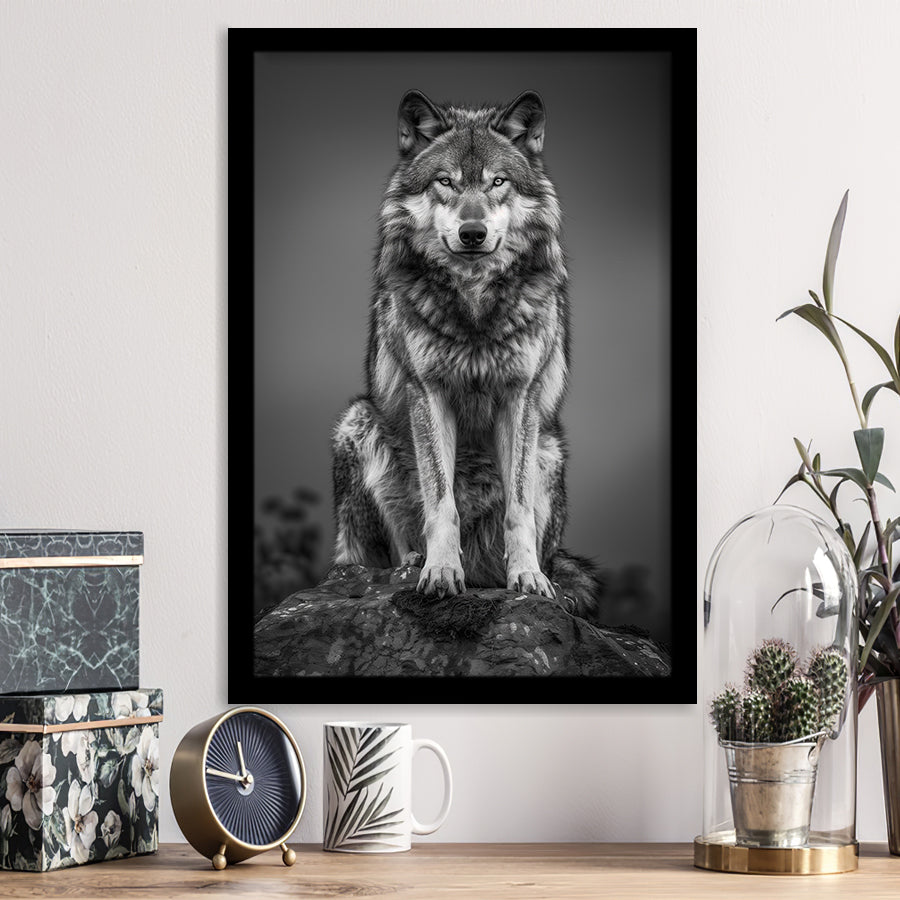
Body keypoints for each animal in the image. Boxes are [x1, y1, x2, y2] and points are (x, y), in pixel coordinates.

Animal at [331, 89, 601, 616]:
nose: (472, 233)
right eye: (445, 182)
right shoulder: (428, 392)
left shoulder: (520, 397)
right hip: (358, 422)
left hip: (549, 450)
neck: (474, 302)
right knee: (366, 556)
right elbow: (441, 502)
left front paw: (528, 578)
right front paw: (439, 571)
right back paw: (410, 564)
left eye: (497, 182)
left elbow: (518, 509)